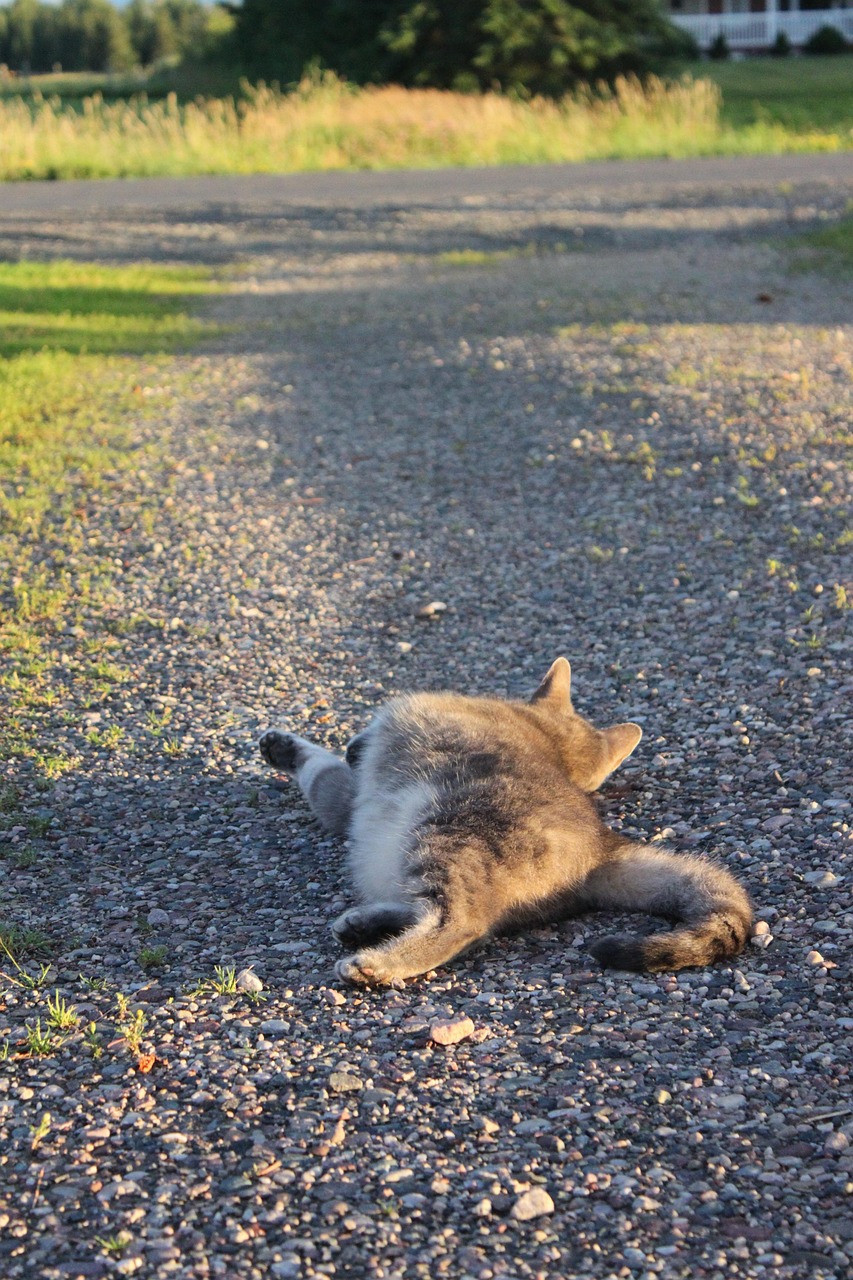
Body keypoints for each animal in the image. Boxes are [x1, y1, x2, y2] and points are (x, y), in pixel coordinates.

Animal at [258, 655, 753, 983]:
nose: (354, 747)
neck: (553, 742)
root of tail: (603, 847)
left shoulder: (352, 790)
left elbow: (319, 770)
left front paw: (288, 748)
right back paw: (369, 923)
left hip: (448, 830)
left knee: (465, 923)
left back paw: (378, 961)